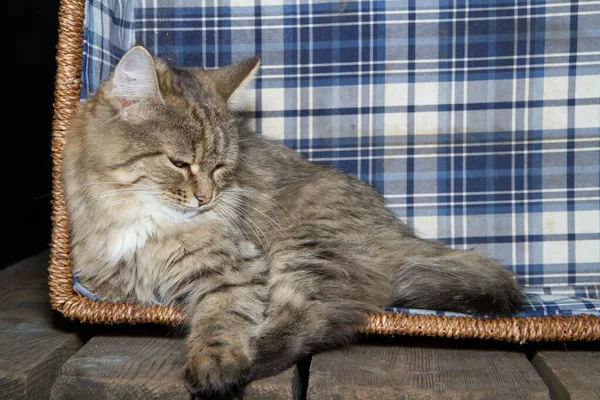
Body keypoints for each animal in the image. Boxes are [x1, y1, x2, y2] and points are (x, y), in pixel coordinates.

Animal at [59, 46, 520, 396]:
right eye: (179, 163)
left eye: (220, 166)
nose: (207, 198)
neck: (140, 216)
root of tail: (395, 227)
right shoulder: (102, 272)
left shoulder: (233, 269)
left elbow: (220, 322)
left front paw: (215, 365)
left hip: (305, 248)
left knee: (310, 321)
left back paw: (248, 361)